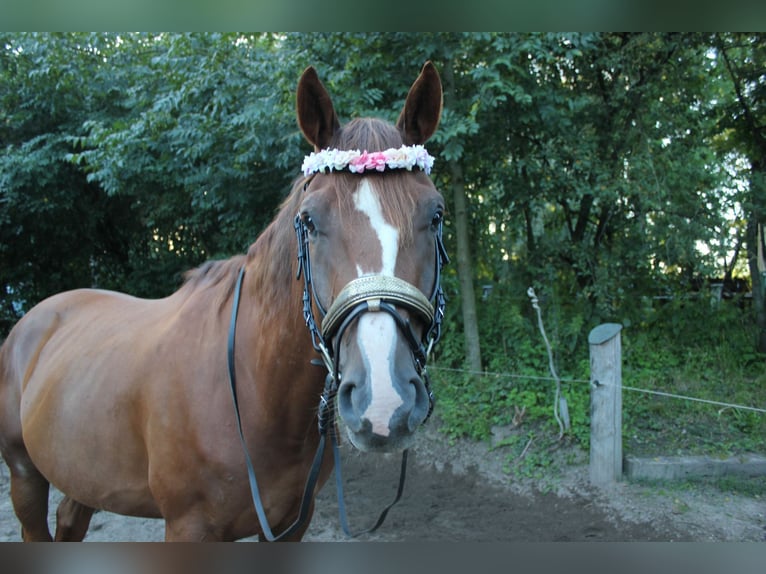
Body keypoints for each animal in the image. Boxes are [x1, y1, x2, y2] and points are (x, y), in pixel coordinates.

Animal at [0, 63, 444, 544]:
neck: (256, 390)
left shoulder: (292, 524)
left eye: (435, 215)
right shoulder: (188, 528)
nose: (383, 403)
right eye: (308, 220)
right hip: (24, 474)